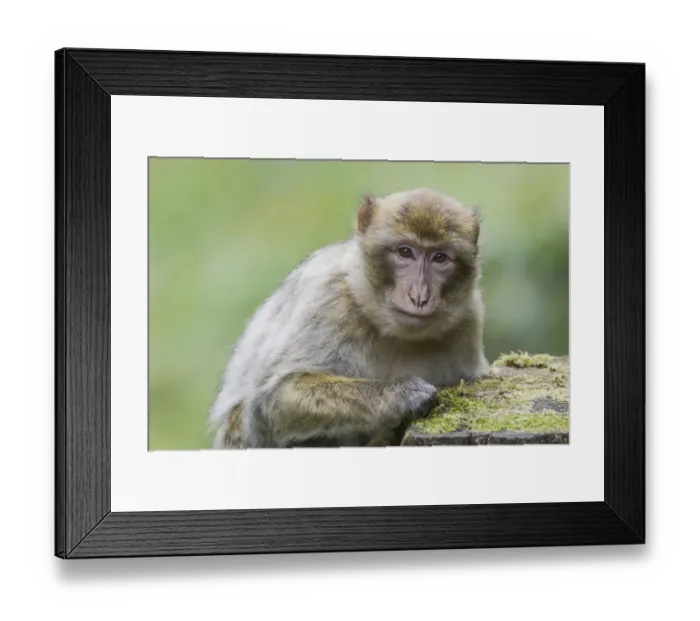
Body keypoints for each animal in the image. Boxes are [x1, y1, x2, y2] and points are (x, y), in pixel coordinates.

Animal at [209, 188, 490, 449]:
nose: (419, 296)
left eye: (439, 258)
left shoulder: (469, 321)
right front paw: (400, 395)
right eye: (405, 252)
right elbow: (270, 400)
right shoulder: (326, 301)